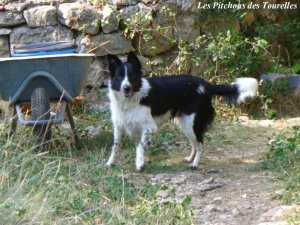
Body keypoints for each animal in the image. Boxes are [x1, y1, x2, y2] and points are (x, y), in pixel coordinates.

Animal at [105, 52, 258, 172]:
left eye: (132, 76)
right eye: (119, 76)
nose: (126, 88)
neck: (130, 100)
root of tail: (206, 84)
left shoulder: (149, 127)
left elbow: (139, 147)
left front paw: (139, 164)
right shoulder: (119, 127)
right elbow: (115, 147)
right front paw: (110, 163)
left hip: (191, 123)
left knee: (200, 144)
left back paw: (195, 164)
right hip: (184, 123)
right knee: (194, 143)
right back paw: (190, 159)